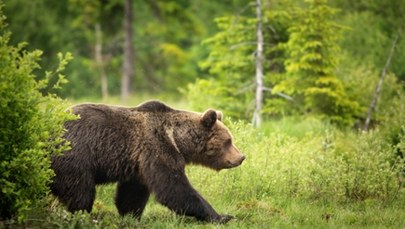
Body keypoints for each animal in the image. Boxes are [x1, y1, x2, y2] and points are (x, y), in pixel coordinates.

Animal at [51, 100, 245, 224]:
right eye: (228, 141)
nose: (241, 157)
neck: (177, 139)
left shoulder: (137, 162)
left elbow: (132, 193)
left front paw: (131, 216)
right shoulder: (157, 148)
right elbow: (173, 188)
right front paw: (221, 216)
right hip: (75, 157)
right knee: (81, 192)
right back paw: (81, 215)